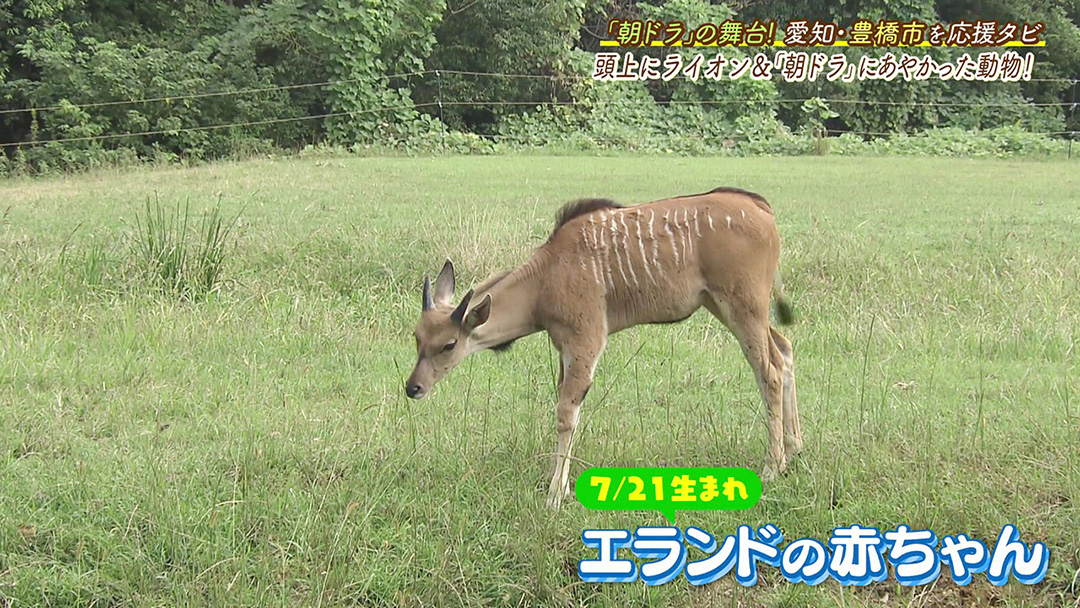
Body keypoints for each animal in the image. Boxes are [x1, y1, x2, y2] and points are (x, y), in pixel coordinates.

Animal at [406, 188, 803, 509]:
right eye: (416, 336)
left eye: (449, 344)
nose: (413, 388)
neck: (545, 278)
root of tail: (761, 208)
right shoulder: (564, 348)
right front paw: (560, 486)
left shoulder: (587, 339)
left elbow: (566, 412)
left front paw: (555, 494)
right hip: (725, 307)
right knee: (783, 351)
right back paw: (794, 451)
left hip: (742, 307)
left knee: (767, 371)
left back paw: (771, 467)